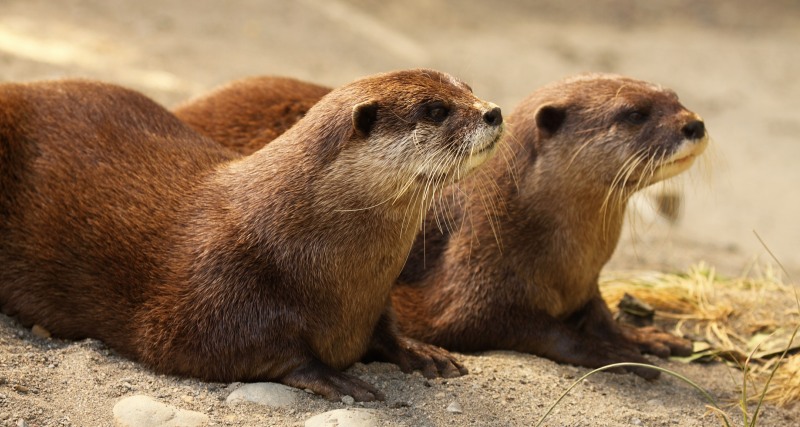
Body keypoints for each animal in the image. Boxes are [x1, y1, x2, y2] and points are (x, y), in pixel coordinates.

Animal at [0, 69, 504, 401]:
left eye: (468, 89)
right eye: (435, 110)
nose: (494, 112)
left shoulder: (374, 300)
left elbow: (387, 329)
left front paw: (423, 353)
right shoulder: (207, 296)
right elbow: (240, 349)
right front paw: (334, 376)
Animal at [172, 73, 701, 379]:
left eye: (676, 97)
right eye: (634, 114)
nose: (694, 124)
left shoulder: (585, 283)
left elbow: (600, 312)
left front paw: (646, 338)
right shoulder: (477, 283)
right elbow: (542, 331)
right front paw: (617, 354)